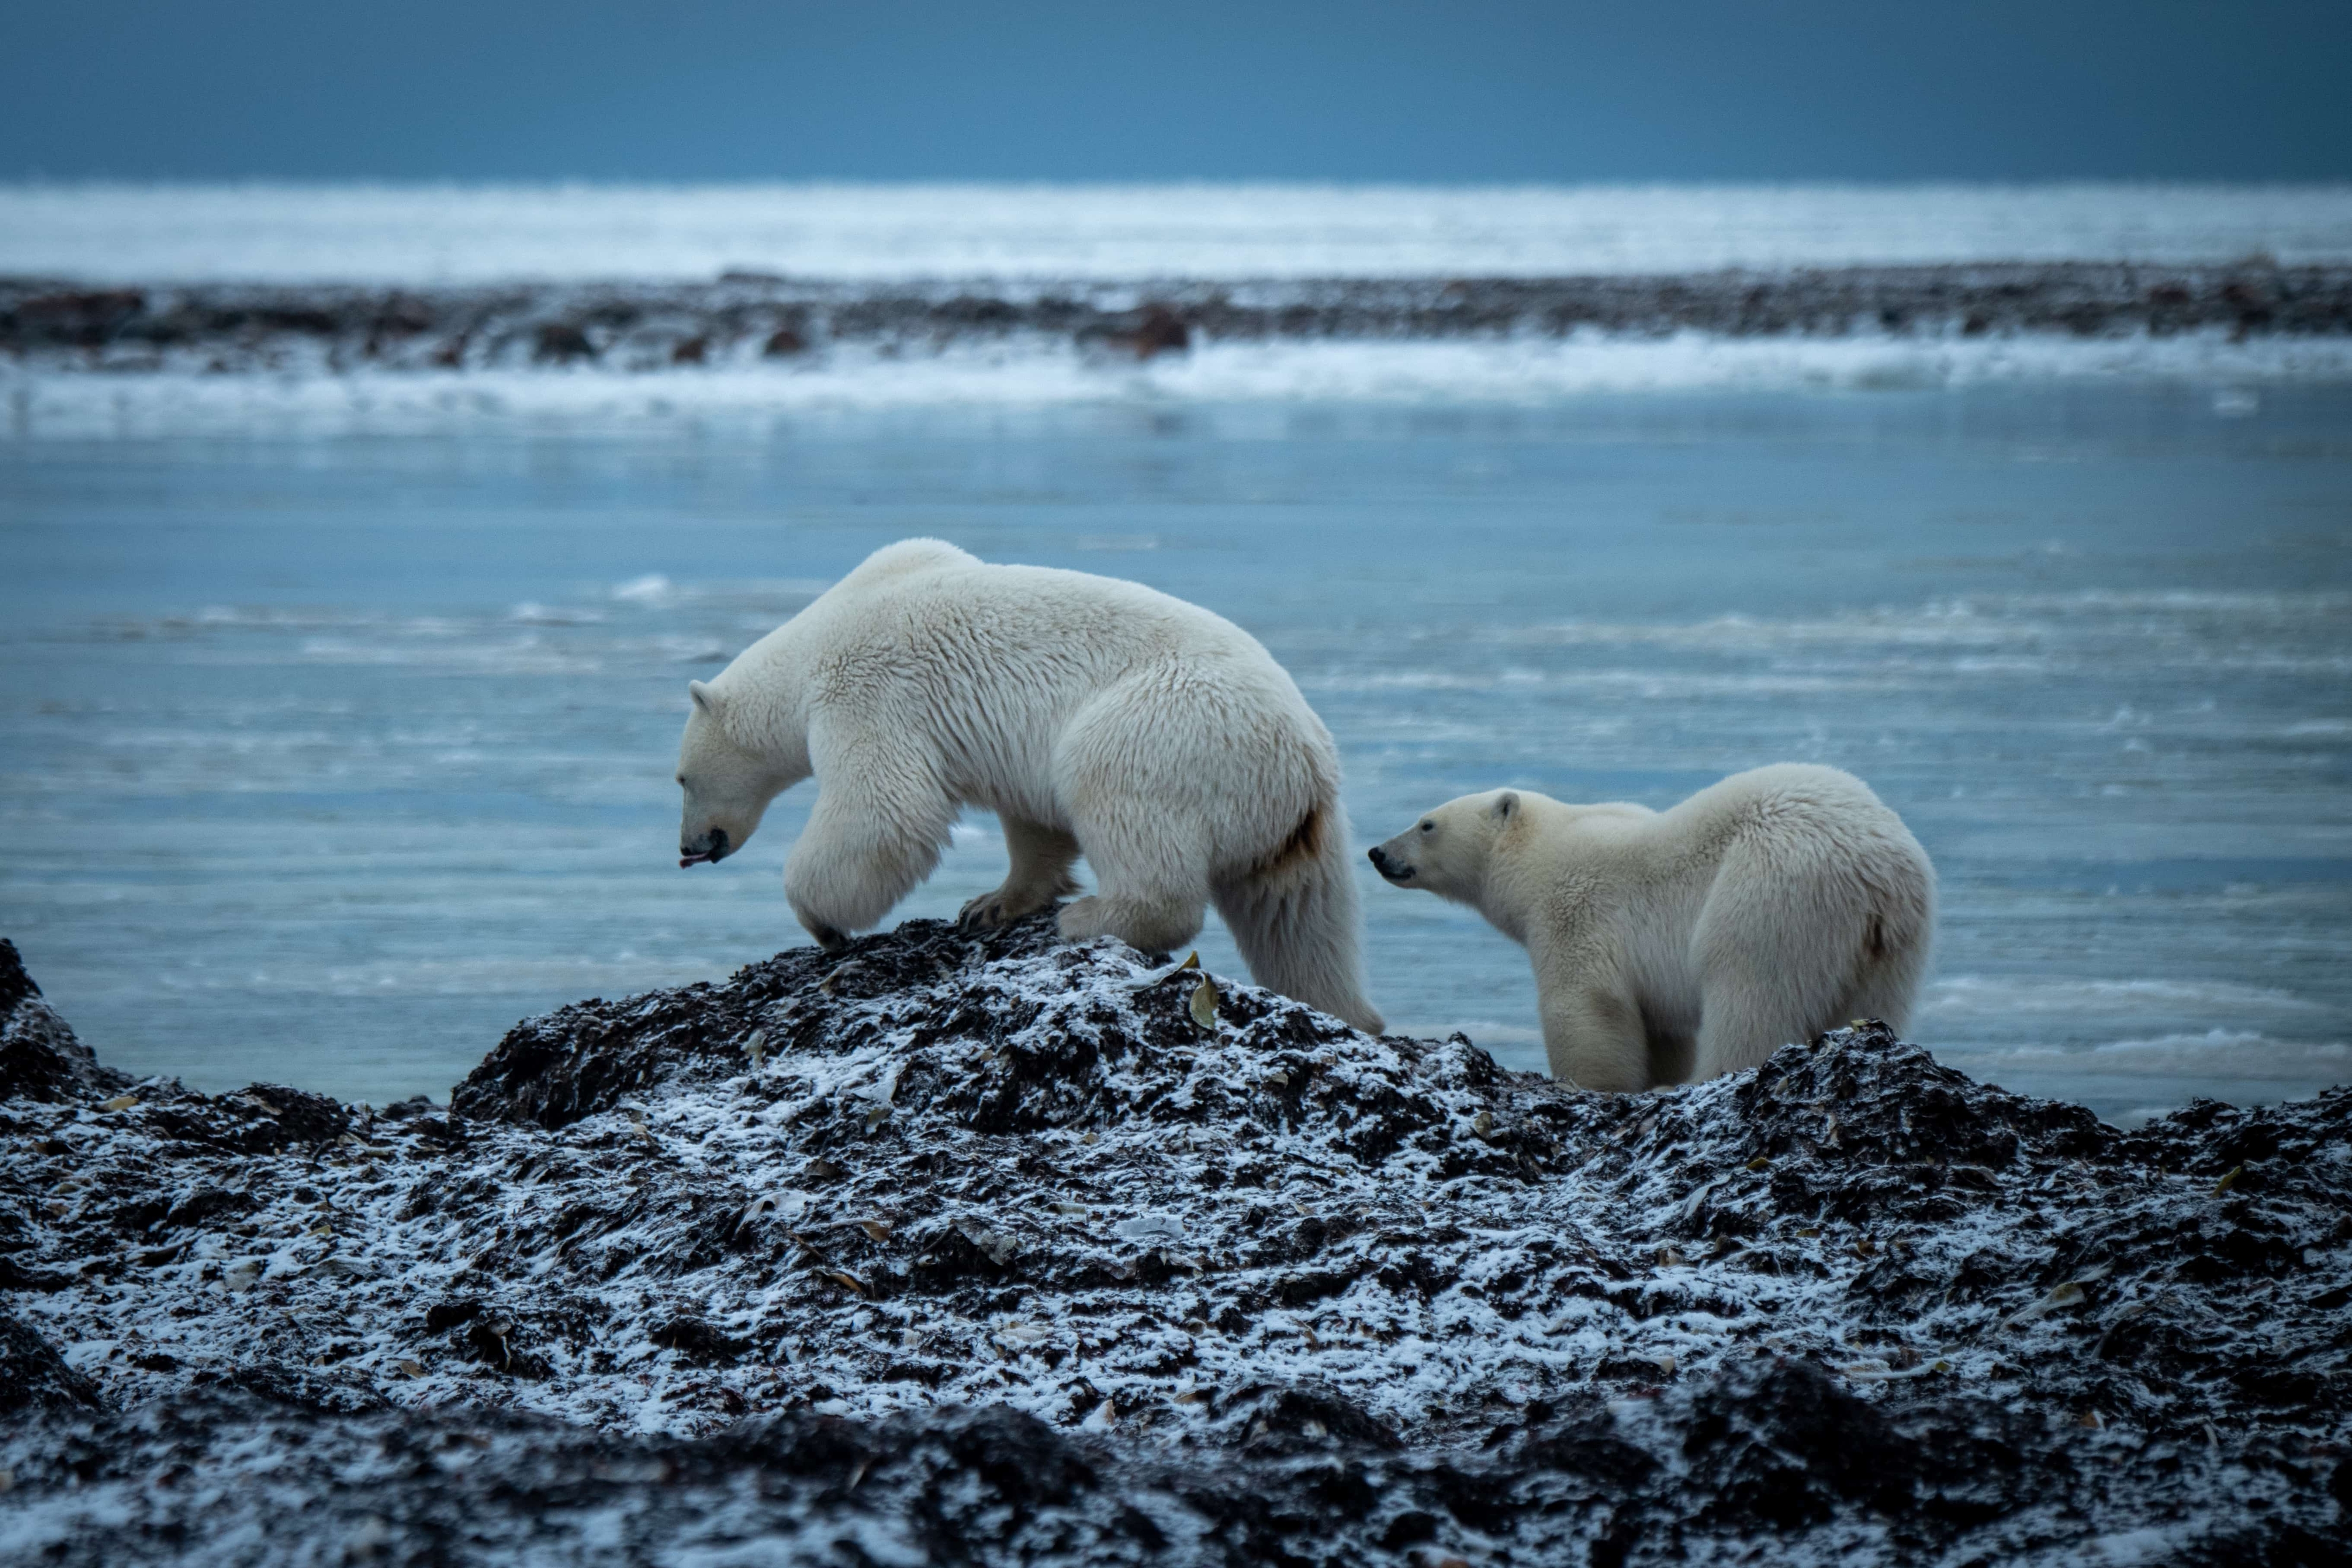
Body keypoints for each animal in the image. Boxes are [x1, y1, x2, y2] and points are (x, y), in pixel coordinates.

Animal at [673, 540, 1382, 1044]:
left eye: (680, 779)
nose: (688, 848)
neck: (815, 639)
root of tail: (1302, 757)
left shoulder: (865, 694)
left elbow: (885, 812)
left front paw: (823, 922)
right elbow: (1033, 821)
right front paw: (990, 905)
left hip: (1164, 726)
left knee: (1116, 797)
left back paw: (1092, 917)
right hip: (1298, 829)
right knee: (1299, 920)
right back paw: (1348, 1010)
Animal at [1364, 761, 1928, 1090]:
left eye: (1427, 824)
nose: (1377, 852)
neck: (1541, 855)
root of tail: (1877, 867)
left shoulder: (1577, 912)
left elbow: (1587, 1009)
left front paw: (1594, 1086)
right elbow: (1661, 1030)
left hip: (1770, 896)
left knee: (1749, 995)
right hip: (1892, 943)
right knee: (1872, 1002)